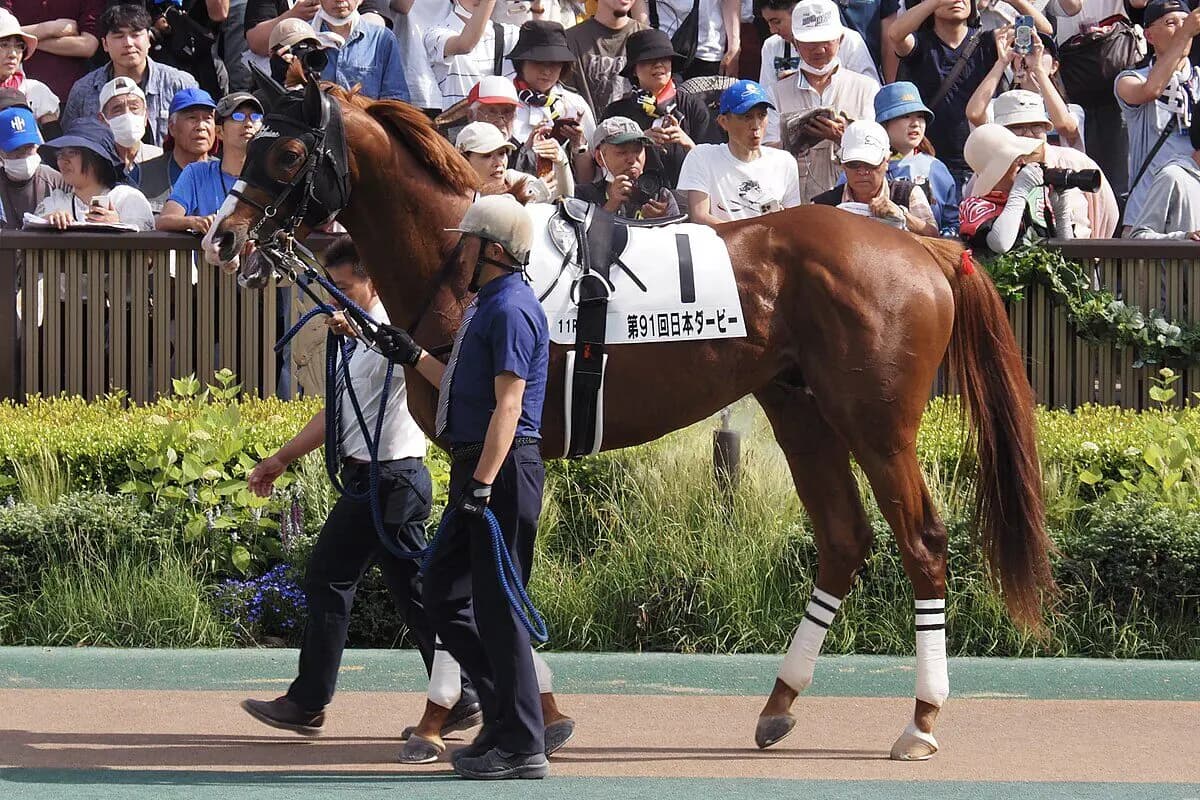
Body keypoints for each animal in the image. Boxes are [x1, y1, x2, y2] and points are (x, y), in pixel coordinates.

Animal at [205, 75, 1054, 761]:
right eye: (251, 143)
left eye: (286, 154)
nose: (221, 237)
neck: (471, 263)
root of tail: (931, 252)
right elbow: (484, 568)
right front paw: (518, 710)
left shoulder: (490, 445)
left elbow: (476, 565)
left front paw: (446, 716)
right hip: (801, 409)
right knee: (845, 538)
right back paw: (779, 705)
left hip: (876, 425)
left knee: (923, 543)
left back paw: (921, 720)